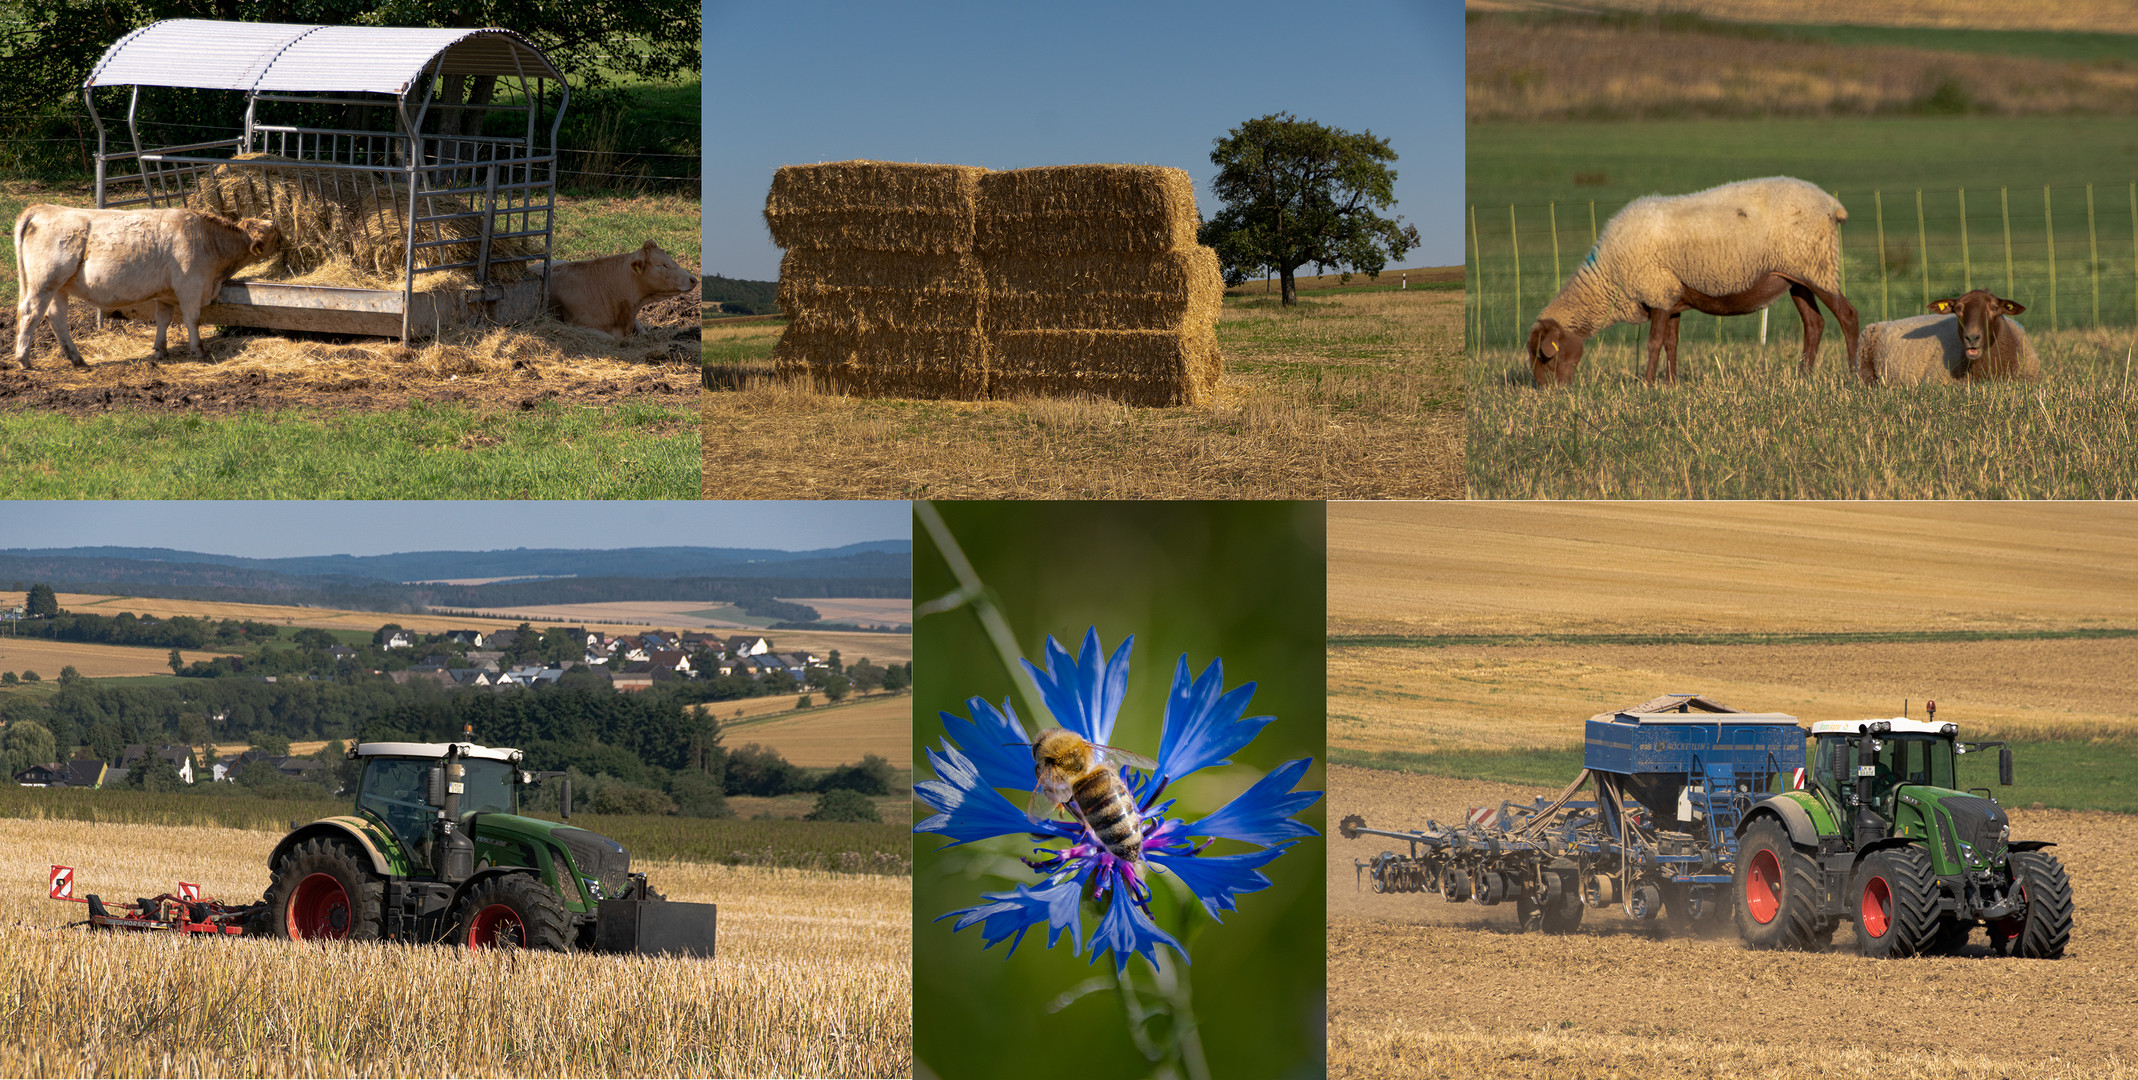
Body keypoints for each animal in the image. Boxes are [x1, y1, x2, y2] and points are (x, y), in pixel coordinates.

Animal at [11, 204, 280, 367]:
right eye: (274, 233)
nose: (285, 240)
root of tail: (43, 208)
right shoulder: (190, 288)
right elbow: (192, 320)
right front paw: (199, 351)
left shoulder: (167, 294)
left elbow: (163, 319)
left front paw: (161, 350)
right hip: (44, 282)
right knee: (30, 313)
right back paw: (24, 359)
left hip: (59, 288)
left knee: (56, 318)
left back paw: (77, 359)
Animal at [1530, 178, 1864, 389]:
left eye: (1545, 355)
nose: (1547, 393)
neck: (1608, 278)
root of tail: (1831, 204)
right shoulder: (1671, 297)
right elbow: (1671, 343)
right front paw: (1671, 384)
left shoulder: (1657, 291)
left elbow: (1653, 343)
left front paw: (1647, 384)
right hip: (1796, 275)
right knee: (1814, 324)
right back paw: (1803, 376)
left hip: (1817, 266)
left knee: (1847, 316)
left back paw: (1853, 373)